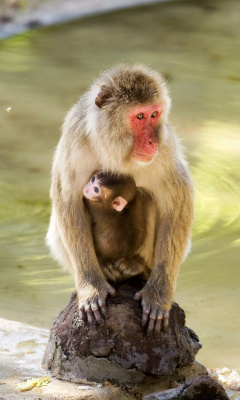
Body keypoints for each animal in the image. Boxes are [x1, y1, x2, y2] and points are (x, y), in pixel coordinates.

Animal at [46, 64, 194, 336]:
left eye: (154, 114)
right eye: (139, 117)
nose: (152, 141)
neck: (113, 147)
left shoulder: (165, 149)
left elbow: (177, 203)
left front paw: (158, 294)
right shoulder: (75, 137)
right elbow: (67, 198)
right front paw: (91, 286)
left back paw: (136, 267)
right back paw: (105, 267)